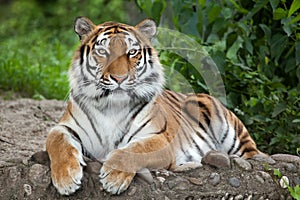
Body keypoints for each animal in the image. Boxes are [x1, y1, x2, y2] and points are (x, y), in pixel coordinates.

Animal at [45, 16, 262, 195]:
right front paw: (66, 179)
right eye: (102, 52)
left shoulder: (158, 139)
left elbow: (132, 151)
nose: (119, 78)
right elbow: (58, 143)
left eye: (132, 52)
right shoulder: (64, 128)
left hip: (233, 134)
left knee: (254, 155)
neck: (111, 107)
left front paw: (114, 177)